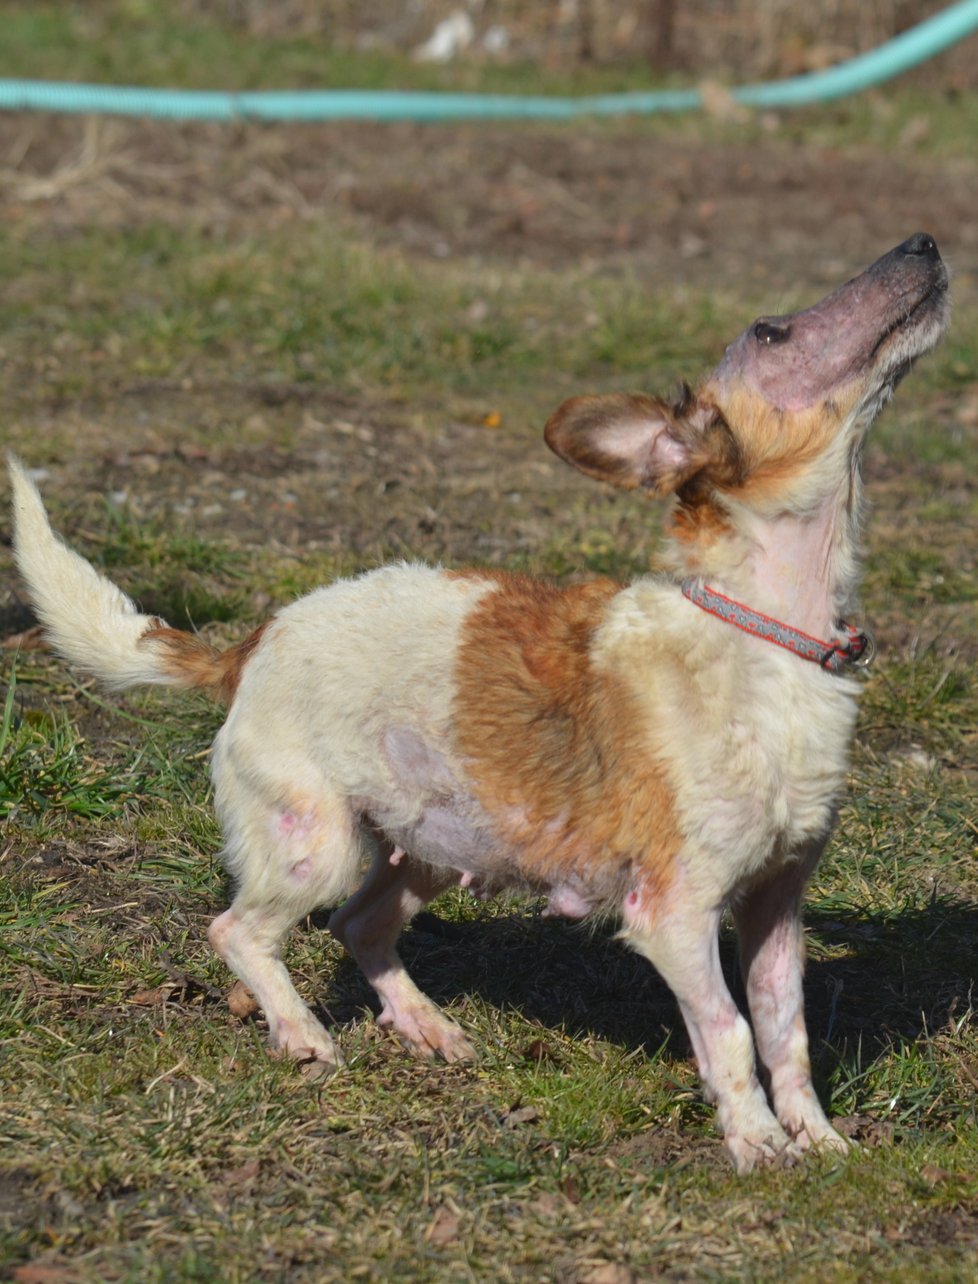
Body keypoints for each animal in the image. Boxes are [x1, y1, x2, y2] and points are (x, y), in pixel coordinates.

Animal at [9, 233, 944, 1176]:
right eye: (772, 332)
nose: (922, 243)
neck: (771, 638)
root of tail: (250, 644)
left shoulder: (776, 906)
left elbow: (785, 1033)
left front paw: (818, 1138)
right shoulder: (676, 915)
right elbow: (730, 1033)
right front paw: (756, 1143)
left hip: (429, 844)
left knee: (359, 926)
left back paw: (421, 1024)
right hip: (321, 846)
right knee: (237, 930)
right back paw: (303, 1035)